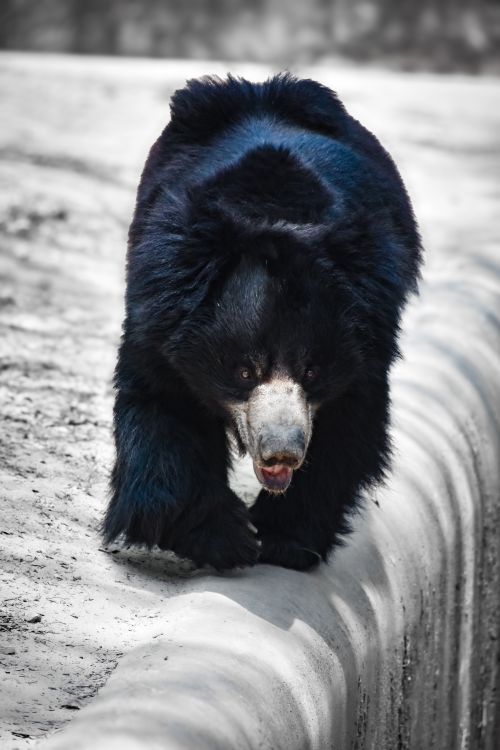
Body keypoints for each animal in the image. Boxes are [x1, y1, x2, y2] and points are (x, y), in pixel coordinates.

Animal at [103, 73, 422, 572]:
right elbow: (164, 407)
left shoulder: (368, 341)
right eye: (243, 371)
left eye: (312, 371)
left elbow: (346, 431)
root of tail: (260, 88)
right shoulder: (161, 312)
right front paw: (224, 538)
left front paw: (280, 539)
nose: (283, 453)